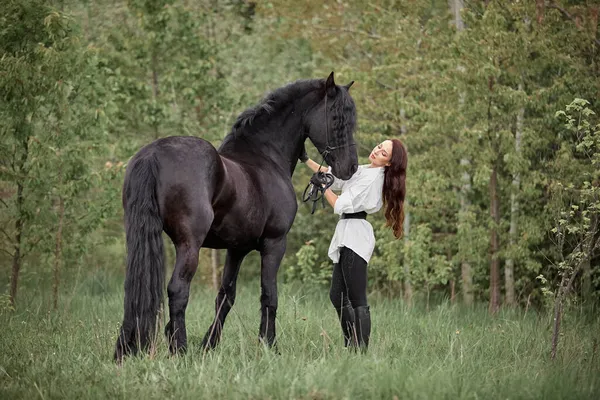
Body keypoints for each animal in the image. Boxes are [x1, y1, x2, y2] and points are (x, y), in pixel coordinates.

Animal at [113, 72, 356, 362]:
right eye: (336, 117)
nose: (350, 167)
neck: (265, 157)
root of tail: (153, 155)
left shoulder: (236, 248)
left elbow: (226, 295)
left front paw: (209, 344)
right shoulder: (275, 244)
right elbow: (269, 295)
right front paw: (269, 345)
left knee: (136, 287)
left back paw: (126, 349)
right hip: (189, 245)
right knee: (178, 290)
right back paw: (179, 350)